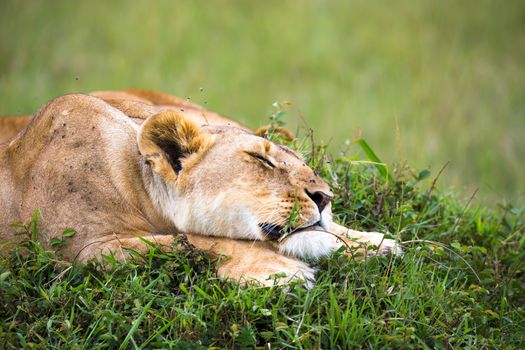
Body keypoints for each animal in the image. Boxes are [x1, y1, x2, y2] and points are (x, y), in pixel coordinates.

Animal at [0, 91, 400, 288]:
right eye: (262, 160)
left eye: (305, 163)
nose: (325, 197)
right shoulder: (86, 250)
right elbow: (192, 241)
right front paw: (276, 271)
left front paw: (374, 242)